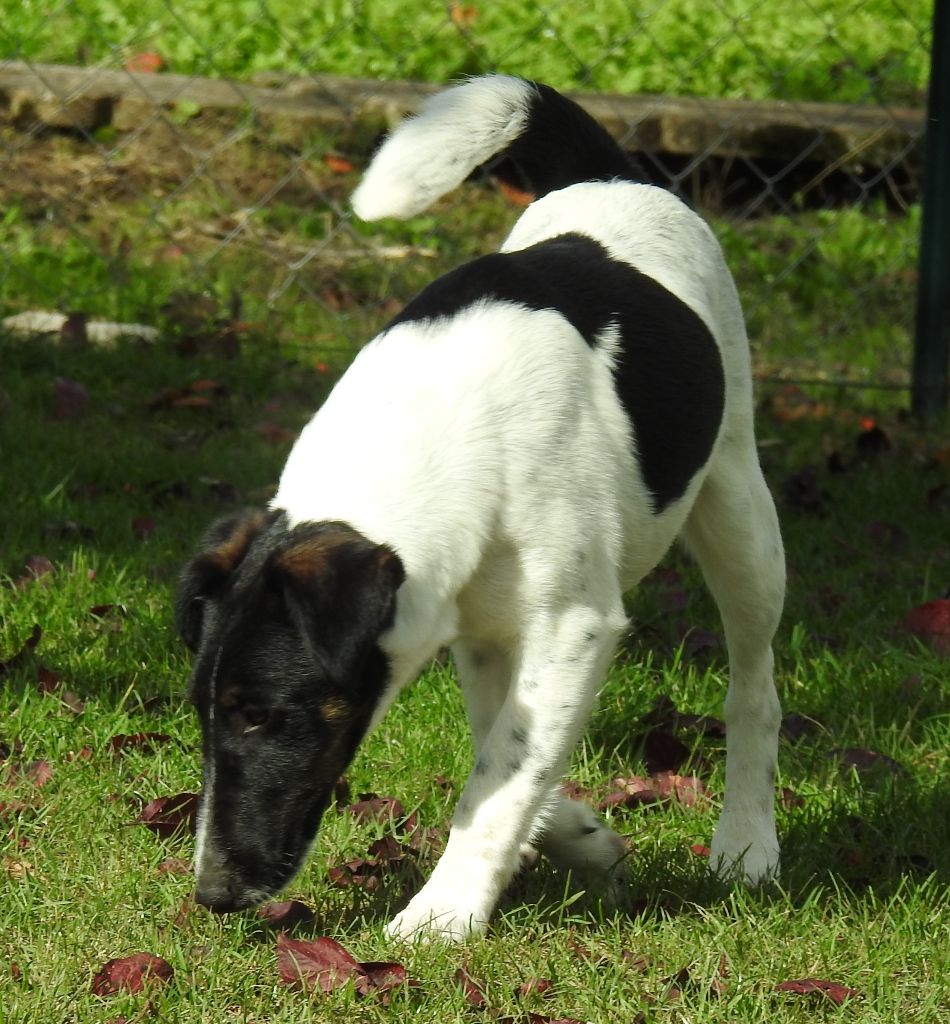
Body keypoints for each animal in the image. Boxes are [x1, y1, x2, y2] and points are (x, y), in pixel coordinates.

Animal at [177, 75, 785, 941]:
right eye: (205, 712)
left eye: (262, 715)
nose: (214, 894)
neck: (424, 431)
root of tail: (612, 177)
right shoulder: (486, 631)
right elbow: (509, 756)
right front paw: (583, 838)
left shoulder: (573, 627)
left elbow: (501, 775)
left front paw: (443, 913)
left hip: (739, 513)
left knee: (754, 687)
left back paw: (746, 843)